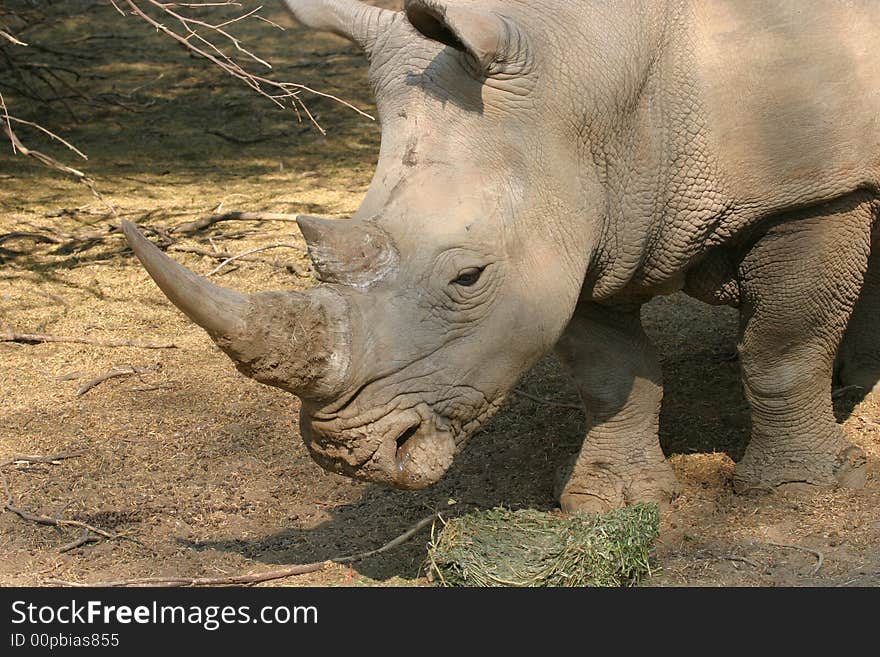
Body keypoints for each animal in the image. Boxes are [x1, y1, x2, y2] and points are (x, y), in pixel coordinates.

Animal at [120, 0, 876, 512]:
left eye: (468, 277)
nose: (348, 456)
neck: (592, 83)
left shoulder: (815, 191)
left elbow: (780, 351)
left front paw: (796, 491)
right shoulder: (580, 218)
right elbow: (609, 370)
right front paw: (609, 501)